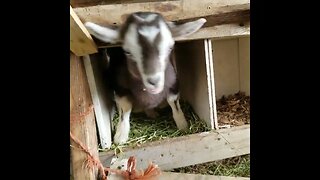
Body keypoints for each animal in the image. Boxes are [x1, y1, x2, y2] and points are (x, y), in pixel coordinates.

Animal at [84, 11, 206, 144]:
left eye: (170, 48)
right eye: (127, 52)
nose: (154, 81)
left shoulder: (174, 81)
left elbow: (173, 101)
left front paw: (183, 125)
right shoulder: (120, 87)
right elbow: (125, 107)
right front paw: (120, 136)